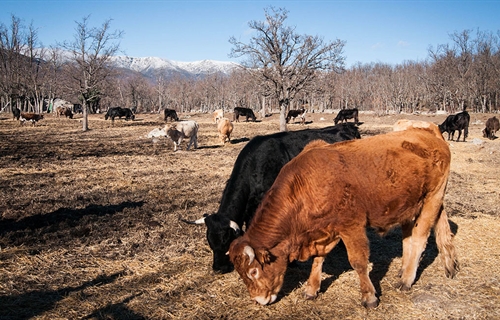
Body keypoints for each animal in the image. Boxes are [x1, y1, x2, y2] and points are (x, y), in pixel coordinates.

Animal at [229, 122, 458, 308]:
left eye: (253, 272)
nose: (259, 300)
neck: (306, 184)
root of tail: (428, 132)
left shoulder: (351, 226)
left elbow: (358, 262)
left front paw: (369, 297)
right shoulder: (324, 230)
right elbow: (318, 259)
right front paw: (311, 289)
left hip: (433, 198)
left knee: (419, 238)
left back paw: (406, 280)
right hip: (411, 205)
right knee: (411, 236)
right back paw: (418, 268)